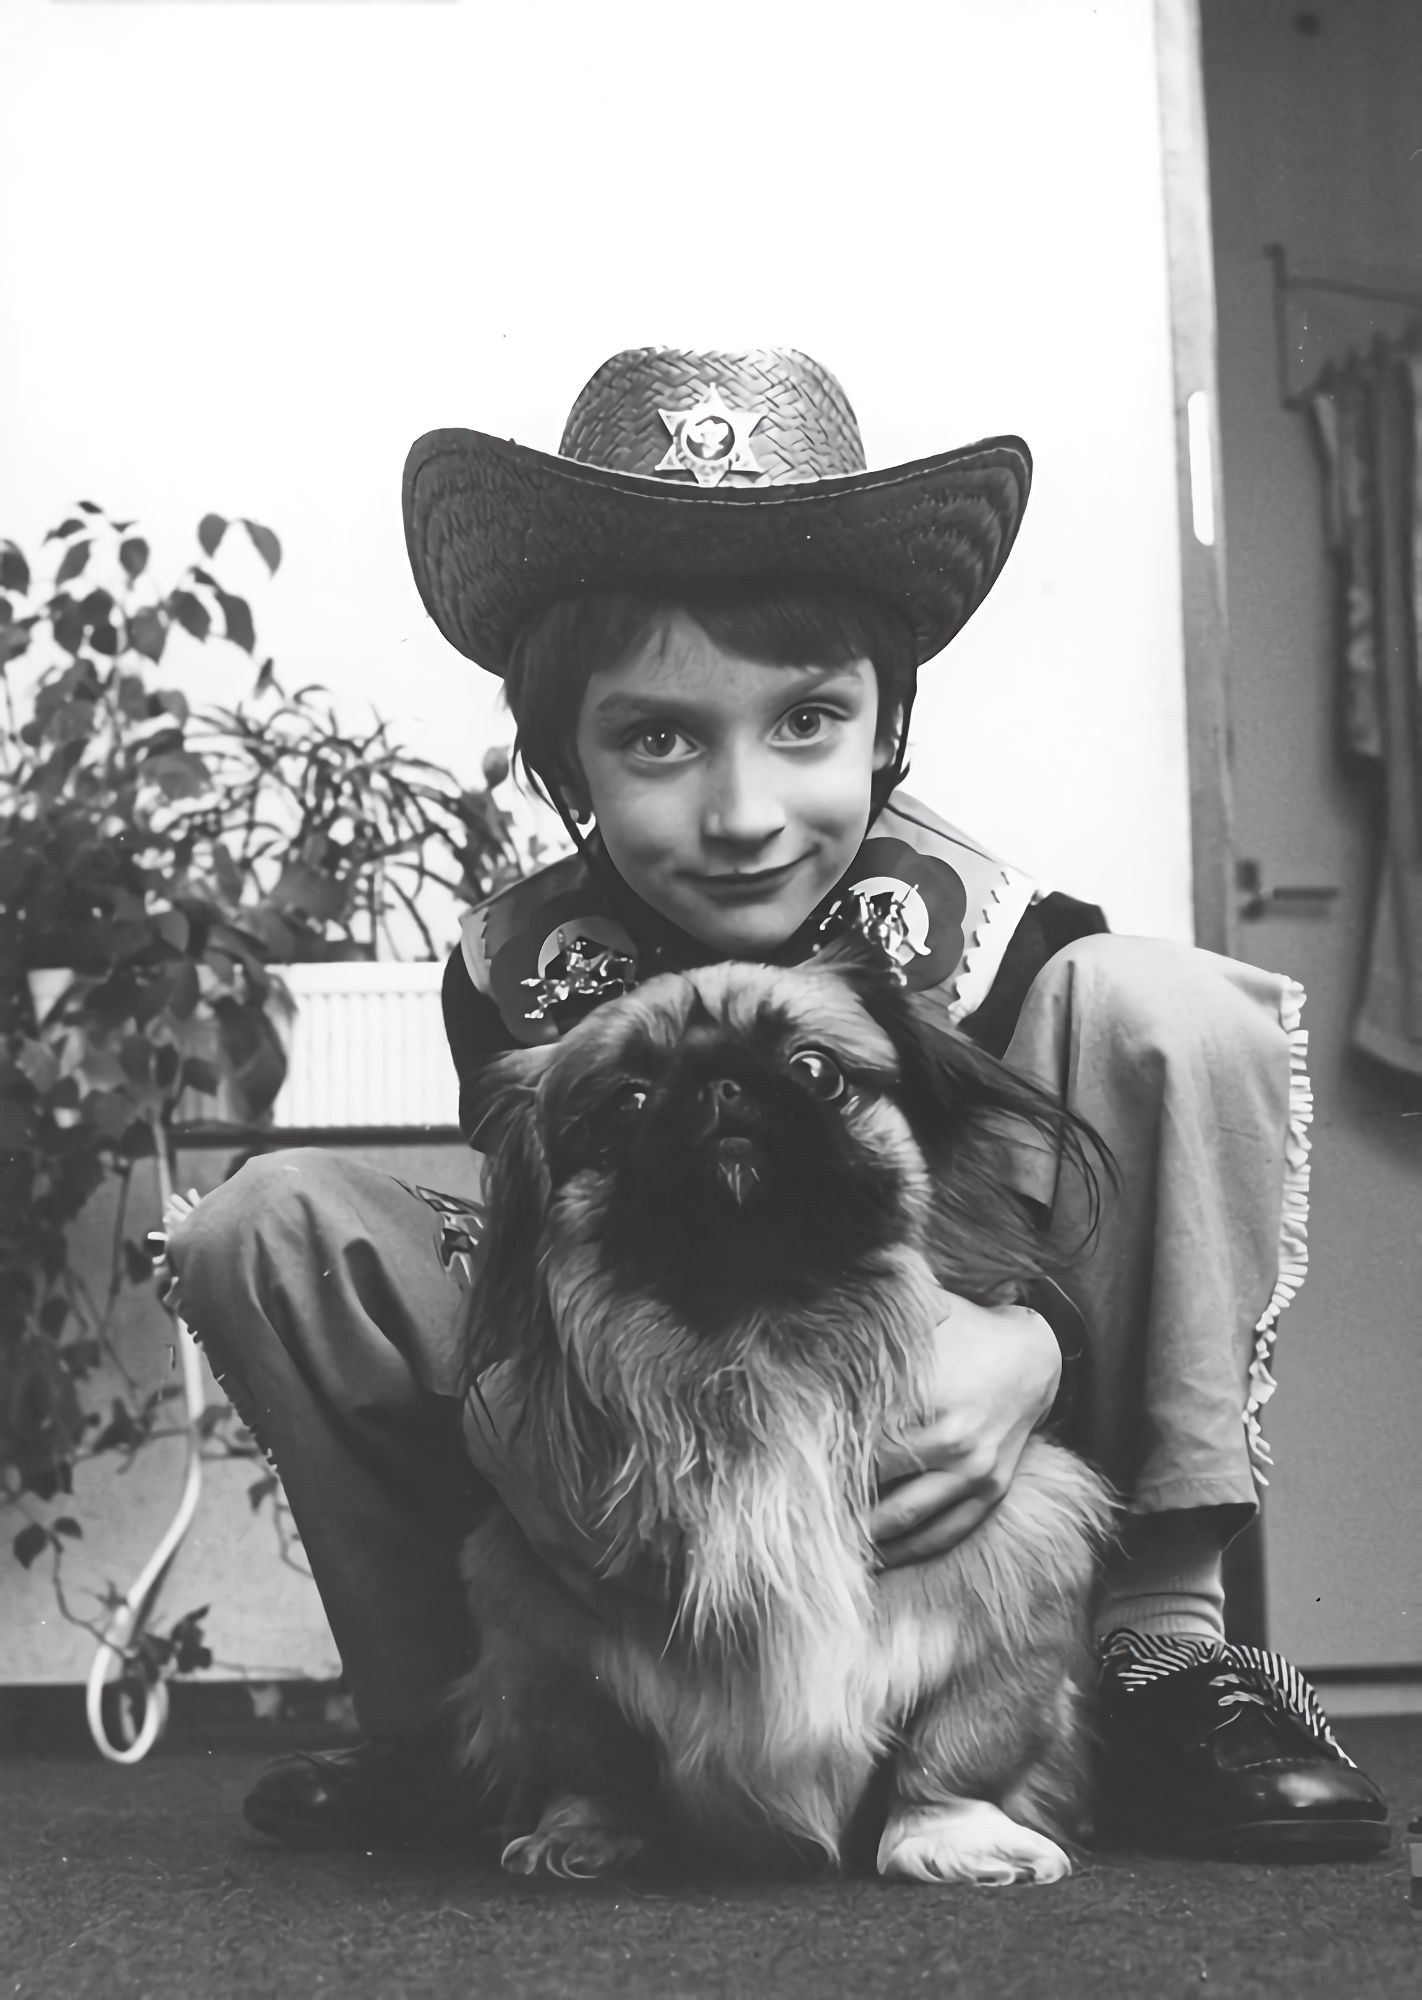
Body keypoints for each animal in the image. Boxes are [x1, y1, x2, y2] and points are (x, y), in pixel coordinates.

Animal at [451, 939, 1114, 1885]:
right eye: (628, 1101)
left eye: (814, 1069)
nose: (721, 1084)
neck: (762, 1339)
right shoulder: (537, 1635)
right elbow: (590, 1760)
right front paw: (580, 1832)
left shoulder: (1016, 1589)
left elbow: (959, 1746)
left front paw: (953, 1837)